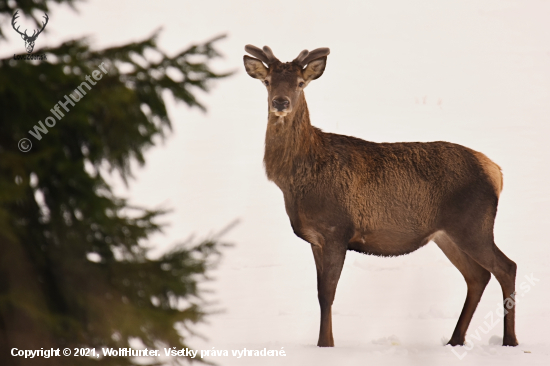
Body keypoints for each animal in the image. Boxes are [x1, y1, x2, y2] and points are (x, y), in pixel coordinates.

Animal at [244, 45, 520, 348]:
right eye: (267, 82)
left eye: (300, 83)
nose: (280, 102)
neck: (296, 181)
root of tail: (496, 172)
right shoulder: (316, 239)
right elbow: (319, 293)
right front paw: (324, 343)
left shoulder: (337, 230)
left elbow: (328, 293)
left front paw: (326, 345)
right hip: (447, 234)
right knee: (478, 276)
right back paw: (455, 340)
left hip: (474, 225)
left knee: (507, 267)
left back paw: (509, 340)